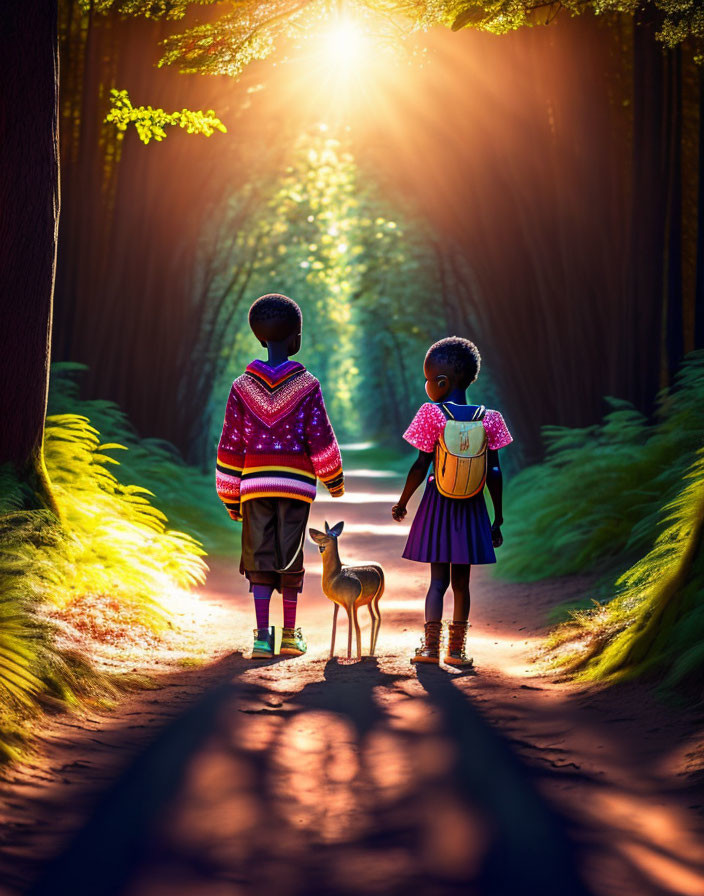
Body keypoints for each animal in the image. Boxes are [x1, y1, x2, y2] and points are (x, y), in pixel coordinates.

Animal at [310, 520, 384, 660]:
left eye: (327, 537)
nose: (320, 548)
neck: (334, 575)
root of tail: (377, 570)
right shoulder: (337, 604)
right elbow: (334, 625)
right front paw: (331, 654)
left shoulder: (349, 603)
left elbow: (351, 627)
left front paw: (349, 656)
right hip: (368, 602)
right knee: (374, 618)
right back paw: (369, 653)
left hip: (359, 605)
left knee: (360, 625)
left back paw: (361, 655)